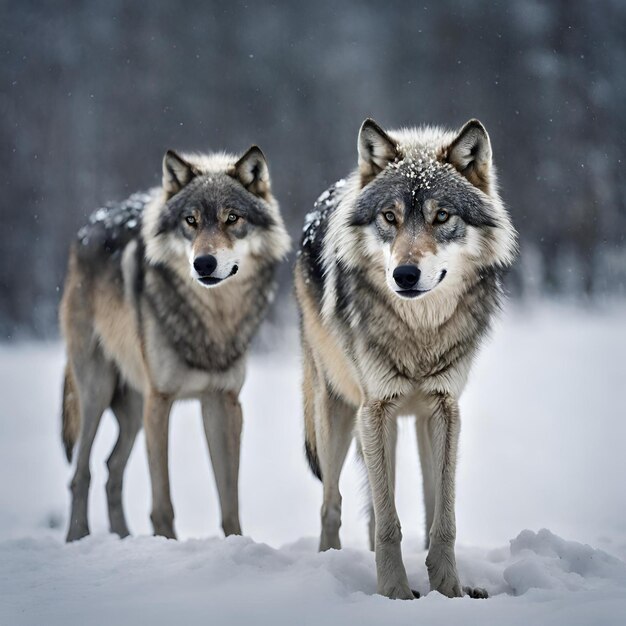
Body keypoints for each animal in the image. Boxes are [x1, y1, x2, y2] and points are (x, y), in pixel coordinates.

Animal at [59, 144, 288, 540]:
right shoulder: (160, 400)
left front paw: (236, 544)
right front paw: (166, 542)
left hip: (131, 408)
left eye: (232, 218)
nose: (204, 263)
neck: (214, 319)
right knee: (81, 473)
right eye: (190, 221)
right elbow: (162, 503)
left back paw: (122, 538)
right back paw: (78, 538)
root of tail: (86, 229)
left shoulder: (224, 402)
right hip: (98, 392)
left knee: (111, 468)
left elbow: (230, 500)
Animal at [294, 118, 516, 600]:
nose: (405, 274)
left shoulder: (445, 407)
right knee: (333, 503)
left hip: (412, 422)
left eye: (442, 216)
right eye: (390, 217)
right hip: (339, 414)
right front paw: (394, 592)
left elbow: (443, 518)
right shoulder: (376, 408)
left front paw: (450, 590)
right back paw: (329, 565)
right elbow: (388, 523)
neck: (419, 334)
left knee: (416, 502)